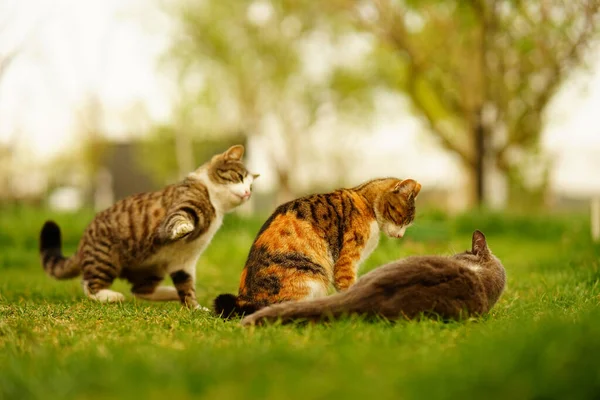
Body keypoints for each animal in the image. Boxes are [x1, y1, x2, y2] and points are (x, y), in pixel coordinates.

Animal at [38, 144, 258, 310]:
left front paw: (195, 308)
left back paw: (169, 293)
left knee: (140, 290)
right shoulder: (182, 207)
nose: (248, 193)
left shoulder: (184, 262)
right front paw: (183, 228)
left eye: (251, 186)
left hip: (153, 269)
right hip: (105, 259)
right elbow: (178, 219)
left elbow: (187, 287)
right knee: (89, 284)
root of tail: (83, 242)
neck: (216, 205)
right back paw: (109, 296)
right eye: (239, 177)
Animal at [214, 178, 422, 318]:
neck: (365, 201)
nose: (400, 236)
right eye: (402, 219)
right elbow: (348, 287)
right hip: (310, 275)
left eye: (407, 223)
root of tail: (245, 299)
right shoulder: (346, 262)